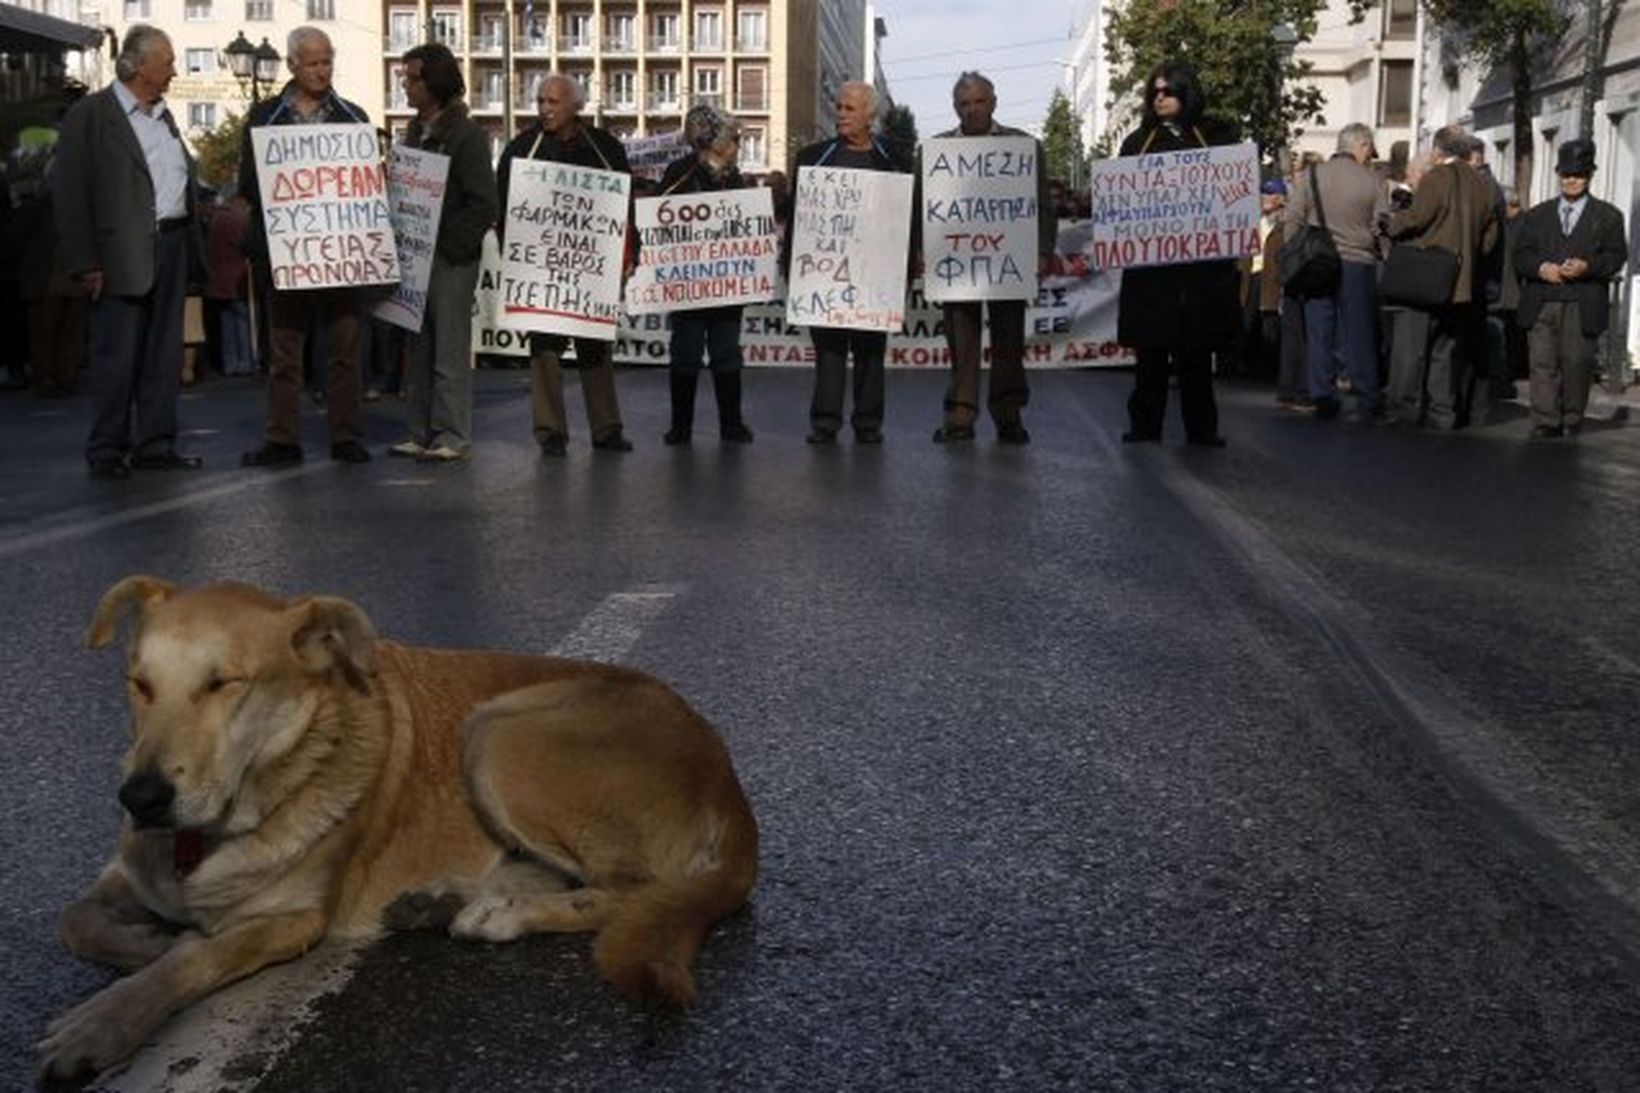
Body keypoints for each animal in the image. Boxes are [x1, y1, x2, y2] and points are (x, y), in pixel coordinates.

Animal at [43, 574, 760, 1076]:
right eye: (139, 684)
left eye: (224, 684)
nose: (140, 797)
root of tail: (727, 776)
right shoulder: (125, 874)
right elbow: (77, 920)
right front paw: (148, 942)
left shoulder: (291, 920)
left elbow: (196, 954)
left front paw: (103, 1020)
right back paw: (445, 900)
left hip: (496, 733)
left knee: (631, 890)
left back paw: (500, 916)